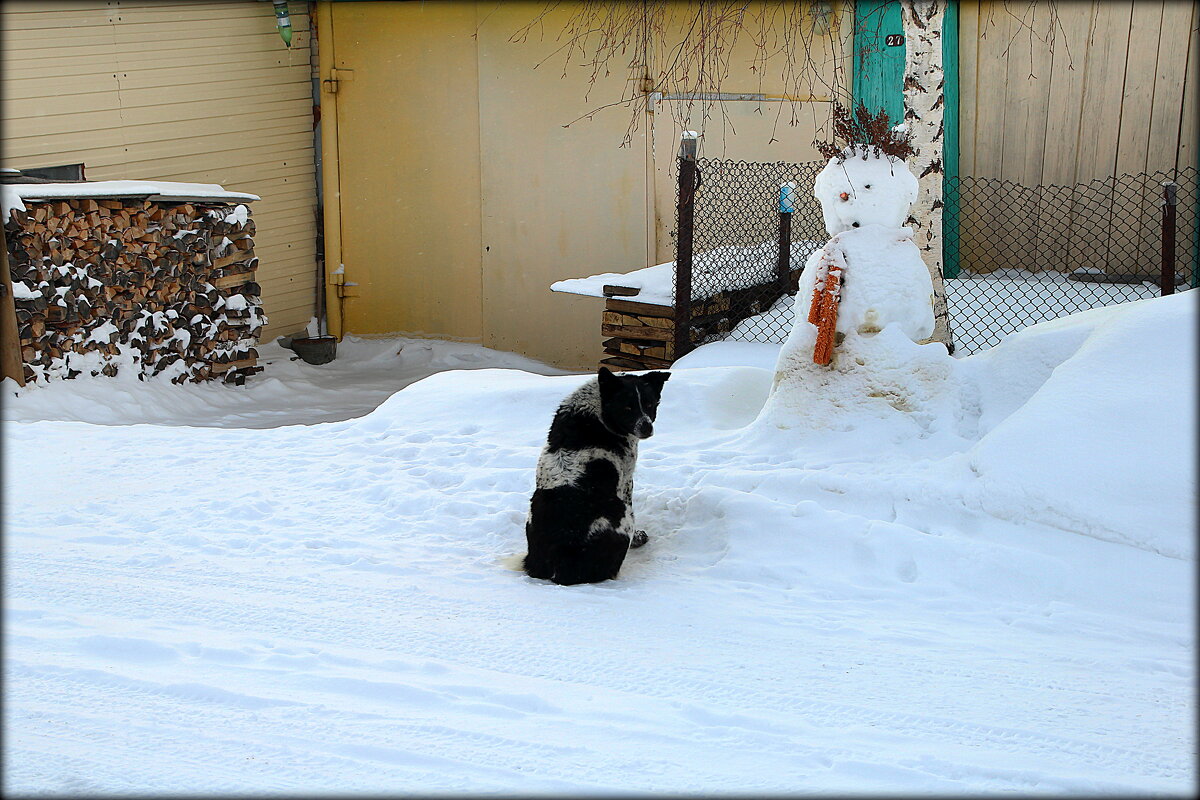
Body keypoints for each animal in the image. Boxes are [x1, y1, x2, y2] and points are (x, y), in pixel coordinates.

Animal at [523, 367, 672, 585]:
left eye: (649, 405)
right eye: (627, 408)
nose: (647, 427)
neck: (599, 409)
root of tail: (560, 563)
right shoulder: (626, 480)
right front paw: (639, 537)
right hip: (622, 513)